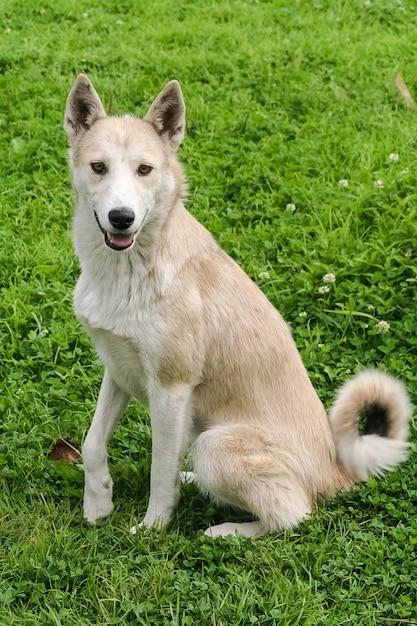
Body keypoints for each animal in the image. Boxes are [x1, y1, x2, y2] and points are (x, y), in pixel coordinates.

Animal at [64, 75, 410, 536]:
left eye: (145, 169)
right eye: (99, 167)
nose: (122, 218)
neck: (130, 269)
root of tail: (337, 471)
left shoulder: (171, 390)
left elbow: (158, 471)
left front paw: (153, 529)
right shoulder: (118, 369)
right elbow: (92, 444)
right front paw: (98, 504)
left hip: (215, 443)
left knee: (293, 512)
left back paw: (226, 531)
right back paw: (193, 482)